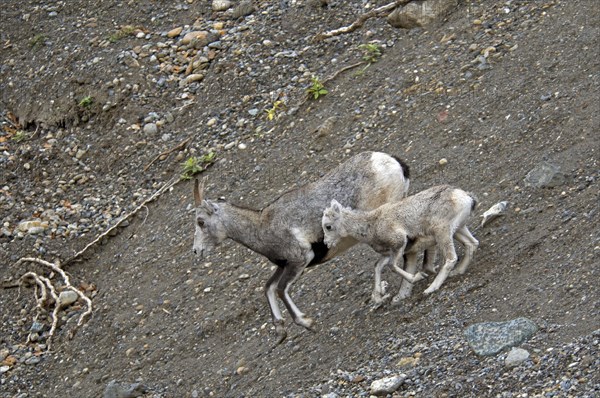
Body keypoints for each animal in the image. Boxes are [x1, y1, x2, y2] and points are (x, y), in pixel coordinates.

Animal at [192, 151, 412, 340]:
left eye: (200, 222)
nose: (196, 251)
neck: (261, 227)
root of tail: (391, 162)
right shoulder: (284, 265)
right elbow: (268, 287)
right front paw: (280, 331)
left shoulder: (300, 260)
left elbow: (281, 289)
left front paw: (308, 323)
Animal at [322, 185, 480, 300]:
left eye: (328, 226)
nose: (327, 243)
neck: (372, 225)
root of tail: (465, 197)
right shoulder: (389, 253)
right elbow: (377, 266)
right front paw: (378, 295)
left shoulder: (399, 244)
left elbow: (392, 266)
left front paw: (418, 277)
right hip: (458, 229)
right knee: (472, 244)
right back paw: (458, 272)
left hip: (443, 233)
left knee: (451, 258)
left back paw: (430, 289)